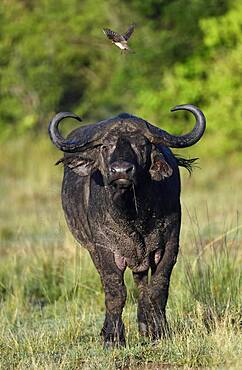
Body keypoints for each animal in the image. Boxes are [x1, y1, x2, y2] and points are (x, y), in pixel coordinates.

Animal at [48, 104, 205, 346]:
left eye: (142, 145)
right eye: (105, 146)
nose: (121, 171)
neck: (133, 215)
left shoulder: (170, 244)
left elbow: (158, 288)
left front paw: (161, 331)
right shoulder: (104, 248)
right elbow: (115, 292)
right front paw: (113, 338)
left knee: (142, 284)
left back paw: (145, 325)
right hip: (92, 250)